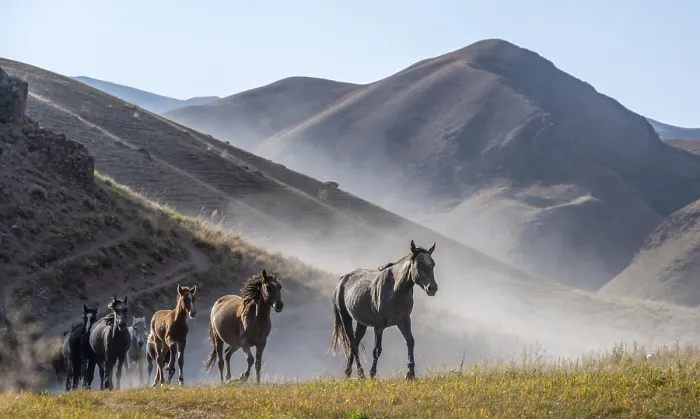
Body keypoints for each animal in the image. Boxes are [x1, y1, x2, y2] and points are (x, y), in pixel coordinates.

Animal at [331, 240, 438, 380]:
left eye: (433, 264)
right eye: (418, 264)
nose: (432, 288)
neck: (395, 290)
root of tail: (342, 280)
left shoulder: (404, 321)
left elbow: (410, 342)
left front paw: (410, 374)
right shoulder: (379, 326)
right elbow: (377, 349)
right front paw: (372, 374)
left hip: (361, 323)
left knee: (355, 342)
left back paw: (348, 373)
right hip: (345, 317)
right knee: (353, 344)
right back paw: (360, 374)